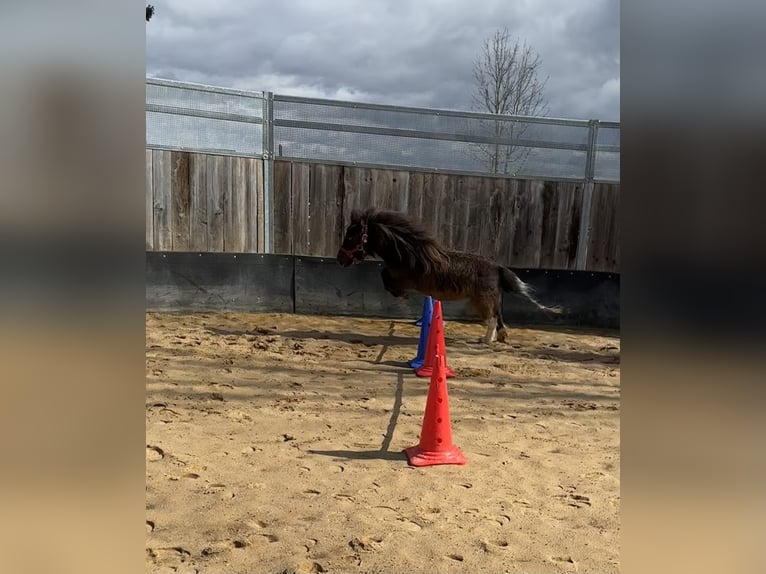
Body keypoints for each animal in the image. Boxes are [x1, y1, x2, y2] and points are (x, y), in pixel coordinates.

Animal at [340, 208, 560, 344]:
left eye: (351, 235)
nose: (340, 258)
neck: (410, 253)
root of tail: (497, 267)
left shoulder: (404, 277)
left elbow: (384, 275)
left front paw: (402, 295)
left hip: (482, 300)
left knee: (491, 318)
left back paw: (485, 340)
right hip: (490, 298)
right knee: (498, 317)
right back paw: (497, 337)